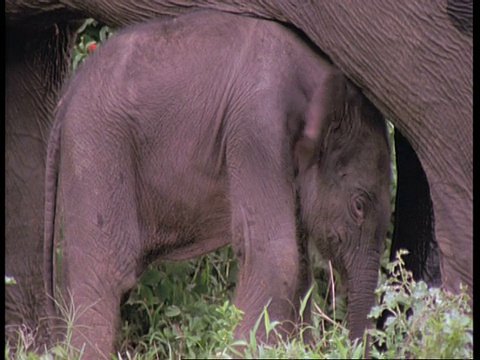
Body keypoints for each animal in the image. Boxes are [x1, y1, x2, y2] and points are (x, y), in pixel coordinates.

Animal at [5, 0, 472, 348]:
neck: (317, 76)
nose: (348, 343)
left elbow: (299, 263)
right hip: (98, 152)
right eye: (359, 206)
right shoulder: (256, 128)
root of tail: (65, 105)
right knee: (105, 277)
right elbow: (275, 253)